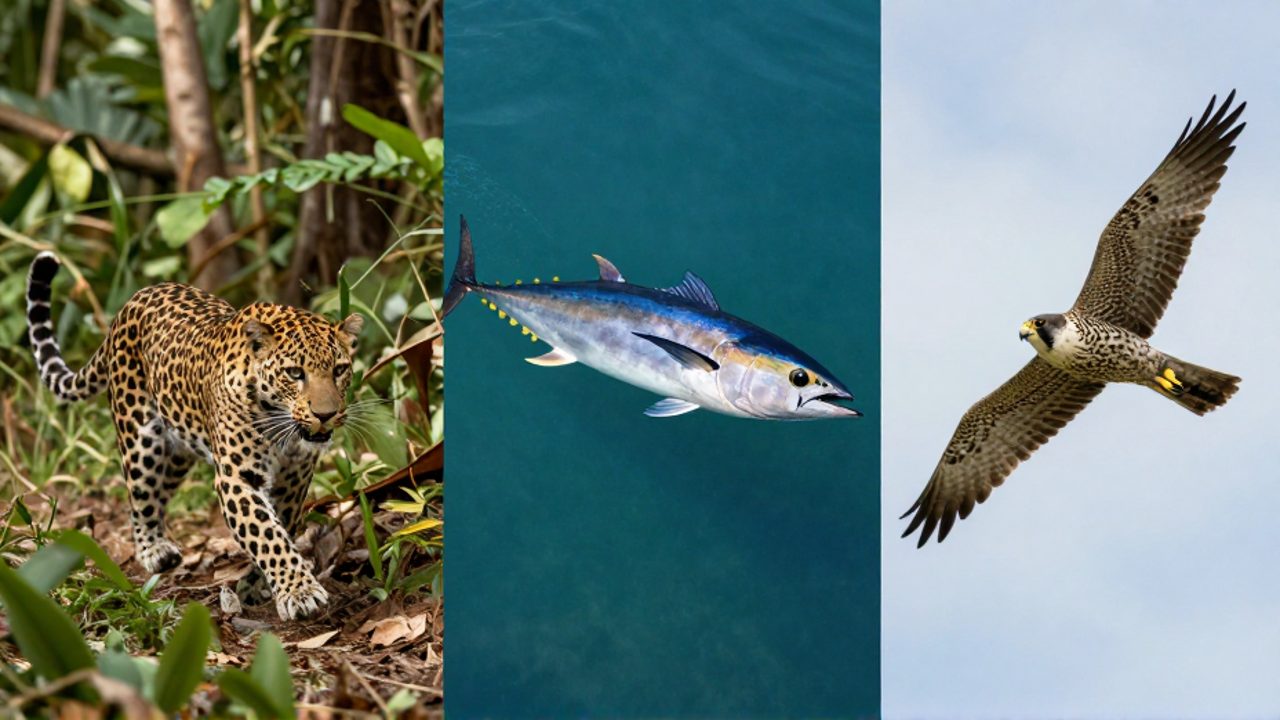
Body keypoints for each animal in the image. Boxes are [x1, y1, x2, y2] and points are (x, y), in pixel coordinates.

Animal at [25, 251, 362, 621]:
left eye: (339, 370)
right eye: (295, 373)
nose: (325, 415)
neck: (279, 425)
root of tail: (134, 299)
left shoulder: (295, 478)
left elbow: (279, 527)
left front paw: (259, 585)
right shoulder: (237, 478)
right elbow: (265, 534)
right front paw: (299, 591)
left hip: (178, 451)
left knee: (158, 493)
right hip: (141, 438)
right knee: (140, 497)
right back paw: (153, 550)